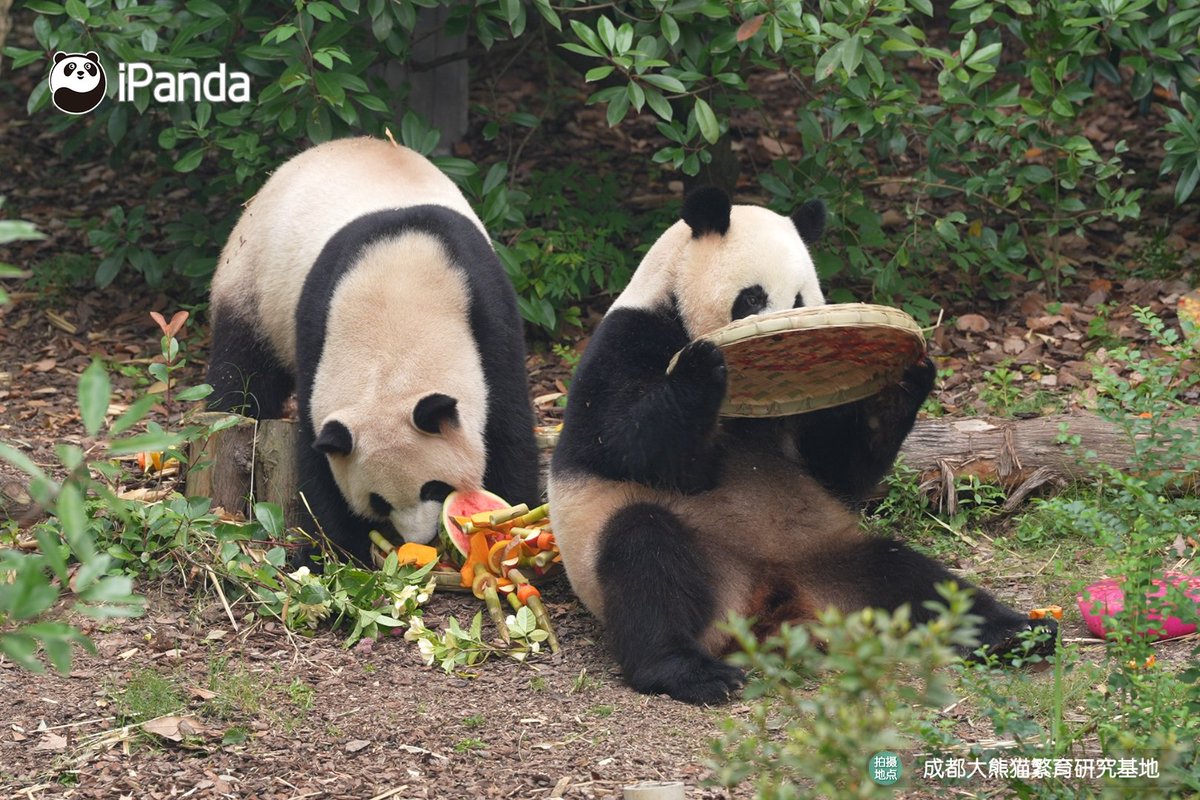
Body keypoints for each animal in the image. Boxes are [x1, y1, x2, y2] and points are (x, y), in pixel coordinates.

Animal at [207, 137, 539, 565]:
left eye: (434, 487)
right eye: (379, 501)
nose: (423, 537)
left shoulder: (487, 312)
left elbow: (506, 427)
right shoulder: (316, 327)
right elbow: (318, 460)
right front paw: (334, 550)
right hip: (254, 281)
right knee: (243, 368)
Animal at [547, 187, 1054, 704]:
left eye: (799, 298)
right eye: (752, 298)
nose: (784, 332)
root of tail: (772, 597)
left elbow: (837, 470)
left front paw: (902, 381)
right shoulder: (627, 339)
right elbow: (629, 446)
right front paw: (703, 367)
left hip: (828, 557)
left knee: (907, 576)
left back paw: (1015, 633)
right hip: (684, 558)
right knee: (644, 556)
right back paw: (686, 669)